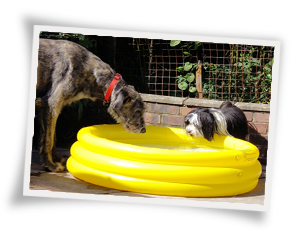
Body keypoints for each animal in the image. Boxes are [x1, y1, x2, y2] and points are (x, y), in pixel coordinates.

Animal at [36, 39, 146, 173]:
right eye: (138, 111)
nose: (144, 130)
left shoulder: (48, 106)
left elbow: (52, 137)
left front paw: (54, 159)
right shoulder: (52, 104)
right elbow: (49, 139)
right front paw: (51, 165)